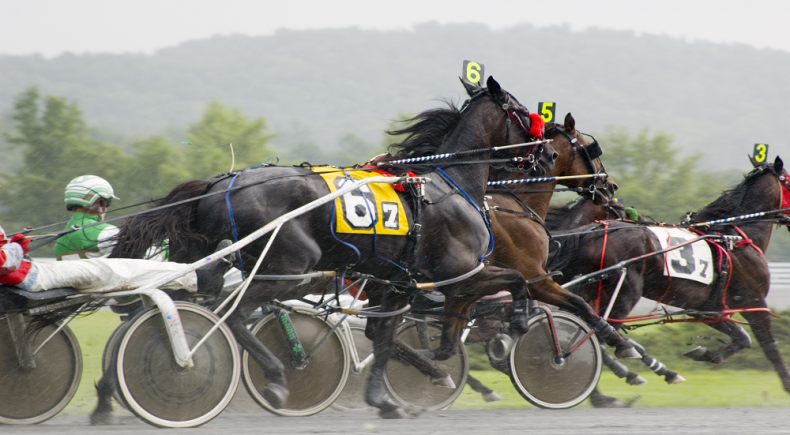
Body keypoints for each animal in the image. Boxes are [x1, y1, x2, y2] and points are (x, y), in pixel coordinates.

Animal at [97, 76, 556, 420]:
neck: (448, 183)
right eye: (523, 113)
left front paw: (388, 398)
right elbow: (518, 280)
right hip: (291, 265)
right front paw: (517, 322)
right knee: (236, 314)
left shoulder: (398, 284)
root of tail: (219, 183)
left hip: (212, 255)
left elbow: (385, 339)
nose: (548, 153)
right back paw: (273, 376)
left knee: (188, 295)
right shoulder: (459, 273)